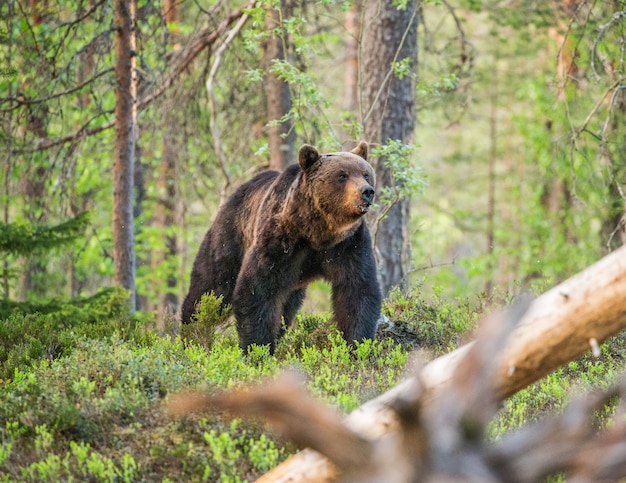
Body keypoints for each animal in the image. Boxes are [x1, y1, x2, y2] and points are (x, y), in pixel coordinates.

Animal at [180, 142, 380, 354]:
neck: (318, 232)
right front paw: (258, 348)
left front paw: (358, 344)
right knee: (210, 286)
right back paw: (192, 333)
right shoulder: (280, 240)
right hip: (229, 236)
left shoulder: (348, 244)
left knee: (287, 308)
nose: (367, 191)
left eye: (365, 173)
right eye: (342, 175)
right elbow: (257, 290)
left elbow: (357, 290)